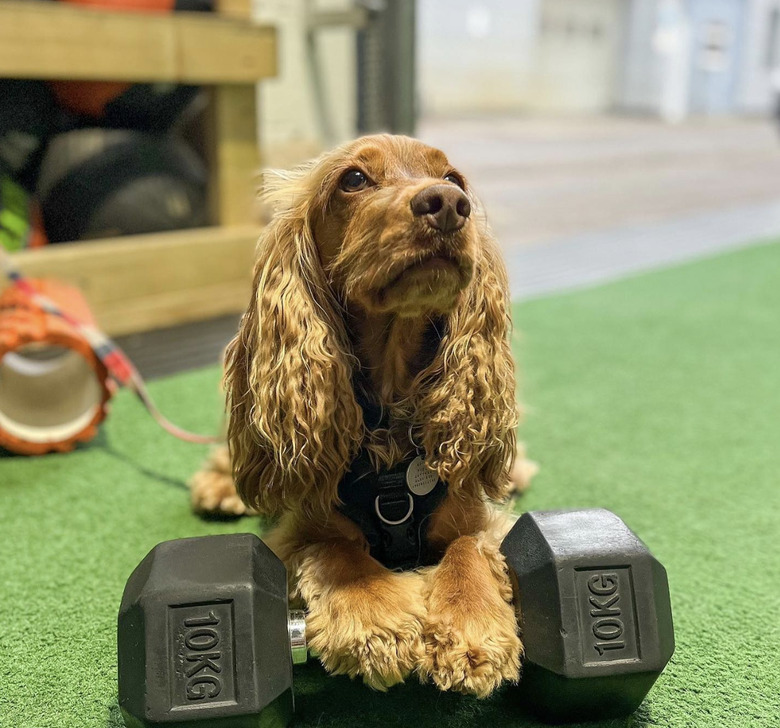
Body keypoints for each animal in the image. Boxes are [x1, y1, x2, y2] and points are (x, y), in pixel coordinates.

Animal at [193, 134, 540, 696]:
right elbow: (336, 550)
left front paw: (471, 628)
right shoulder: (296, 531)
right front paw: (373, 617)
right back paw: (220, 486)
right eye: (353, 179)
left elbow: (469, 550)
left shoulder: (479, 517)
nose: (448, 204)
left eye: (455, 180)